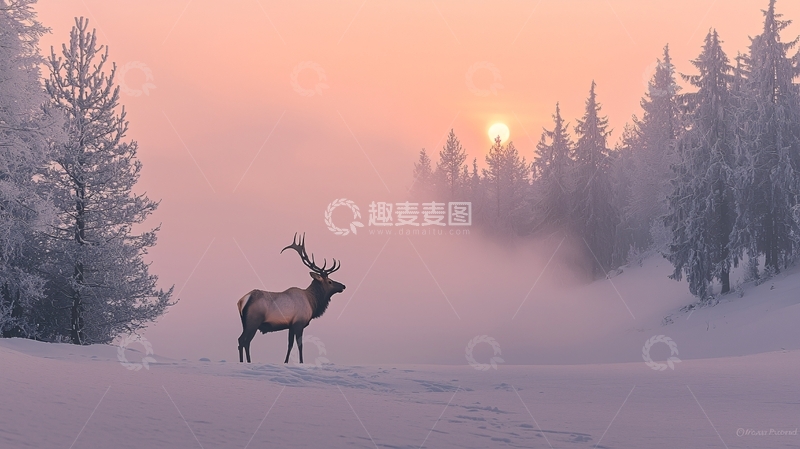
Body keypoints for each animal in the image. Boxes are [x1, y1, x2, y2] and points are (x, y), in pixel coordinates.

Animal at [237, 233, 345, 364]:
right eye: (330, 281)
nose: (343, 286)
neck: (312, 303)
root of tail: (243, 300)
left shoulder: (291, 325)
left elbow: (290, 344)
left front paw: (286, 361)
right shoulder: (299, 323)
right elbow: (300, 345)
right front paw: (301, 362)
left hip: (244, 322)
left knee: (241, 340)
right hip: (253, 321)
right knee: (245, 341)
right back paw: (247, 361)